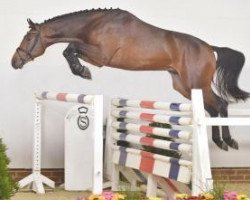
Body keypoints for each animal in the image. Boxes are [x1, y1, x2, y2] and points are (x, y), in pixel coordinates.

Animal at [11, 8, 248, 151]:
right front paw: (81, 70)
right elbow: (70, 48)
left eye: (29, 38)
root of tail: (210, 48)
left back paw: (227, 141)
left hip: (197, 84)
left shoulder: (100, 56)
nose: (14, 61)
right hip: (185, 86)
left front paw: (82, 71)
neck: (94, 25)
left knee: (220, 104)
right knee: (212, 108)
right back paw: (220, 141)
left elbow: (70, 49)